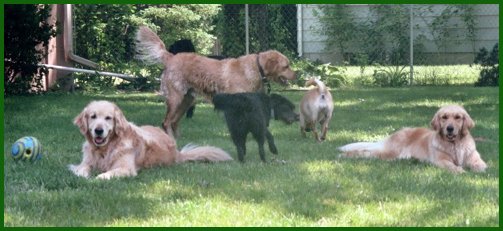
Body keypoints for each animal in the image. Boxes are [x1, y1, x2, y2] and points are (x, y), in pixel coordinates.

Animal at [68, 100, 233, 180]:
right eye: (93, 116)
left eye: (108, 118)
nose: (98, 130)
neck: (105, 149)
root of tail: (177, 152)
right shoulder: (86, 162)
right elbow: (82, 169)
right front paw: (83, 175)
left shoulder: (126, 168)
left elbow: (107, 174)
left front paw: (99, 177)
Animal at [136, 26, 298, 137]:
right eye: (286, 66)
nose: (297, 74)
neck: (256, 68)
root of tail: (171, 57)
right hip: (176, 99)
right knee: (166, 122)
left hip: (187, 101)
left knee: (173, 123)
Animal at [338, 104, 488, 173]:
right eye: (444, 117)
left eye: (458, 117)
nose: (449, 128)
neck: (454, 145)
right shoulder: (440, 161)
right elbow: (452, 166)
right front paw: (460, 171)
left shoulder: (473, 157)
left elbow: (480, 164)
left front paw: (478, 170)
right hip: (390, 152)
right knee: (364, 152)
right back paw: (344, 155)